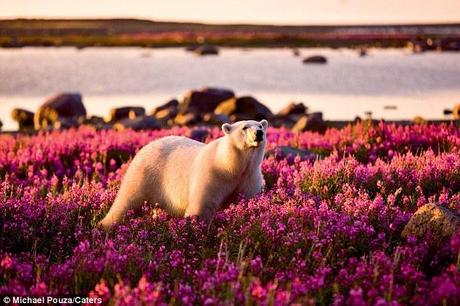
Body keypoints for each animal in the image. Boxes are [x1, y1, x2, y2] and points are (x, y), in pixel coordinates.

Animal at [99, 119, 268, 230]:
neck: (231, 165)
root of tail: (146, 146)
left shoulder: (249, 178)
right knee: (127, 201)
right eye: (245, 127)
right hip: (145, 174)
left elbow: (249, 202)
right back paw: (105, 225)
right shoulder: (213, 175)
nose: (259, 133)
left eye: (260, 125)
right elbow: (202, 206)